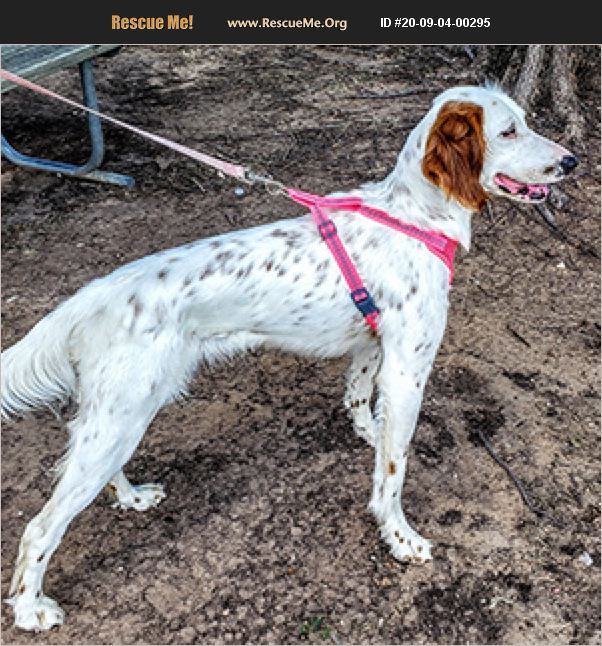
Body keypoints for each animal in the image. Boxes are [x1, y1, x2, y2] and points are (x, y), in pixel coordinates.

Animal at [0, 83, 576, 632]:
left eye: (524, 122)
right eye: (508, 132)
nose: (571, 161)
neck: (412, 215)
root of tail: (93, 296)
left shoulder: (373, 346)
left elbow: (359, 399)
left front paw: (368, 432)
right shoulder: (409, 368)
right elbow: (393, 470)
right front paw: (398, 536)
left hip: (121, 414)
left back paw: (132, 496)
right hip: (121, 415)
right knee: (40, 528)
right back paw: (30, 609)